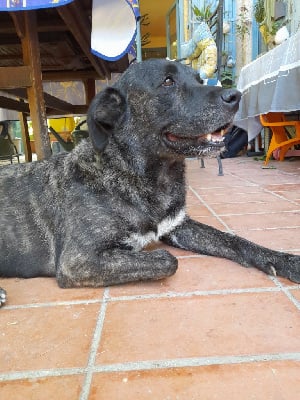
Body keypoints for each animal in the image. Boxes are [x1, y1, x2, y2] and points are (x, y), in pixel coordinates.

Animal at [0, 58, 300, 306]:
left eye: (199, 79)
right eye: (167, 82)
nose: (235, 95)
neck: (147, 177)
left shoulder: (178, 225)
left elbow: (234, 239)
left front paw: (282, 260)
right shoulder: (78, 261)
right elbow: (168, 260)